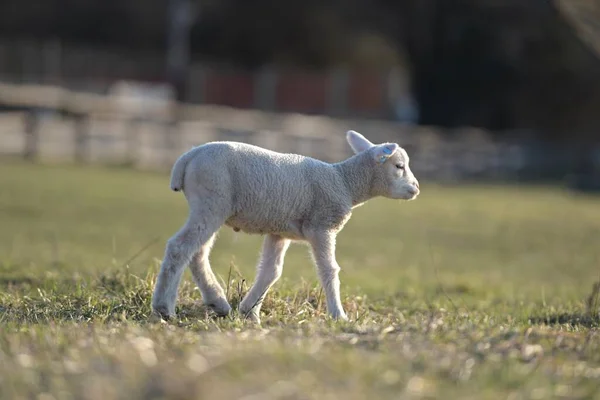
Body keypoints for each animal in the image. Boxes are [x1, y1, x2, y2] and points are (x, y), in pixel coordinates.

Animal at [152, 130, 420, 324]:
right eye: (399, 166)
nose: (416, 187)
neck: (344, 181)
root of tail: (187, 157)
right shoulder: (321, 226)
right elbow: (329, 270)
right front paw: (339, 316)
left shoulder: (279, 232)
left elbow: (271, 271)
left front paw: (250, 312)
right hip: (212, 202)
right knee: (180, 247)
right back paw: (164, 308)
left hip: (210, 206)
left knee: (197, 253)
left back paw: (217, 302)